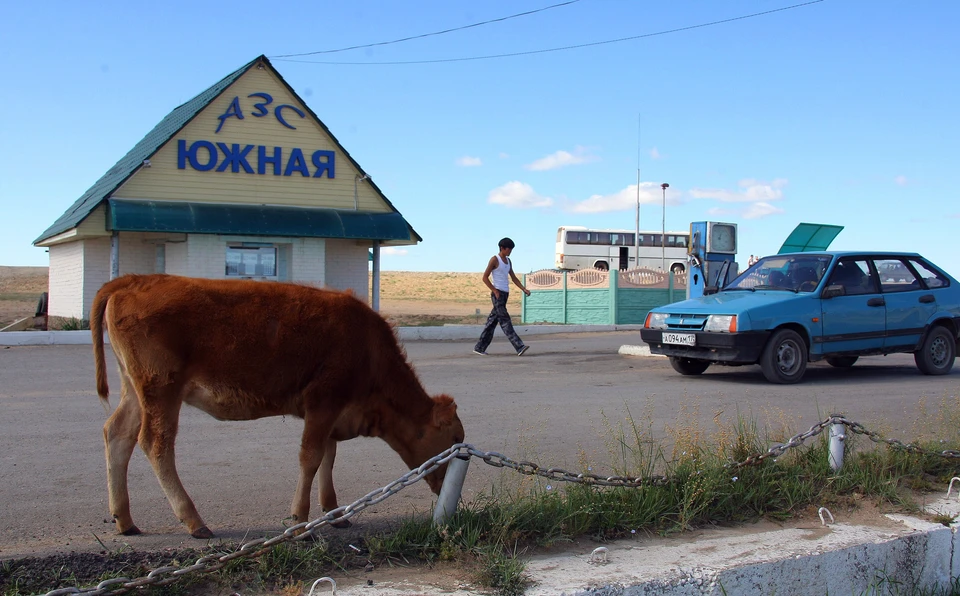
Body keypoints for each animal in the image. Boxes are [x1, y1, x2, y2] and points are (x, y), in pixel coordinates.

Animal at [90, 274, 464, 540]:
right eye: (455, 441)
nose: (449, 491)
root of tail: (136, 278)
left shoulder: (334, 412)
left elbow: (328, 458)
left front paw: (335, 514)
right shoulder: (324, 400)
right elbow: (311, 458)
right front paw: (300, 521)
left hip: (135, 390)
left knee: (117, 434)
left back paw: (125, 520)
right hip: (162, 389)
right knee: (156, 444)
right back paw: (193, 520)